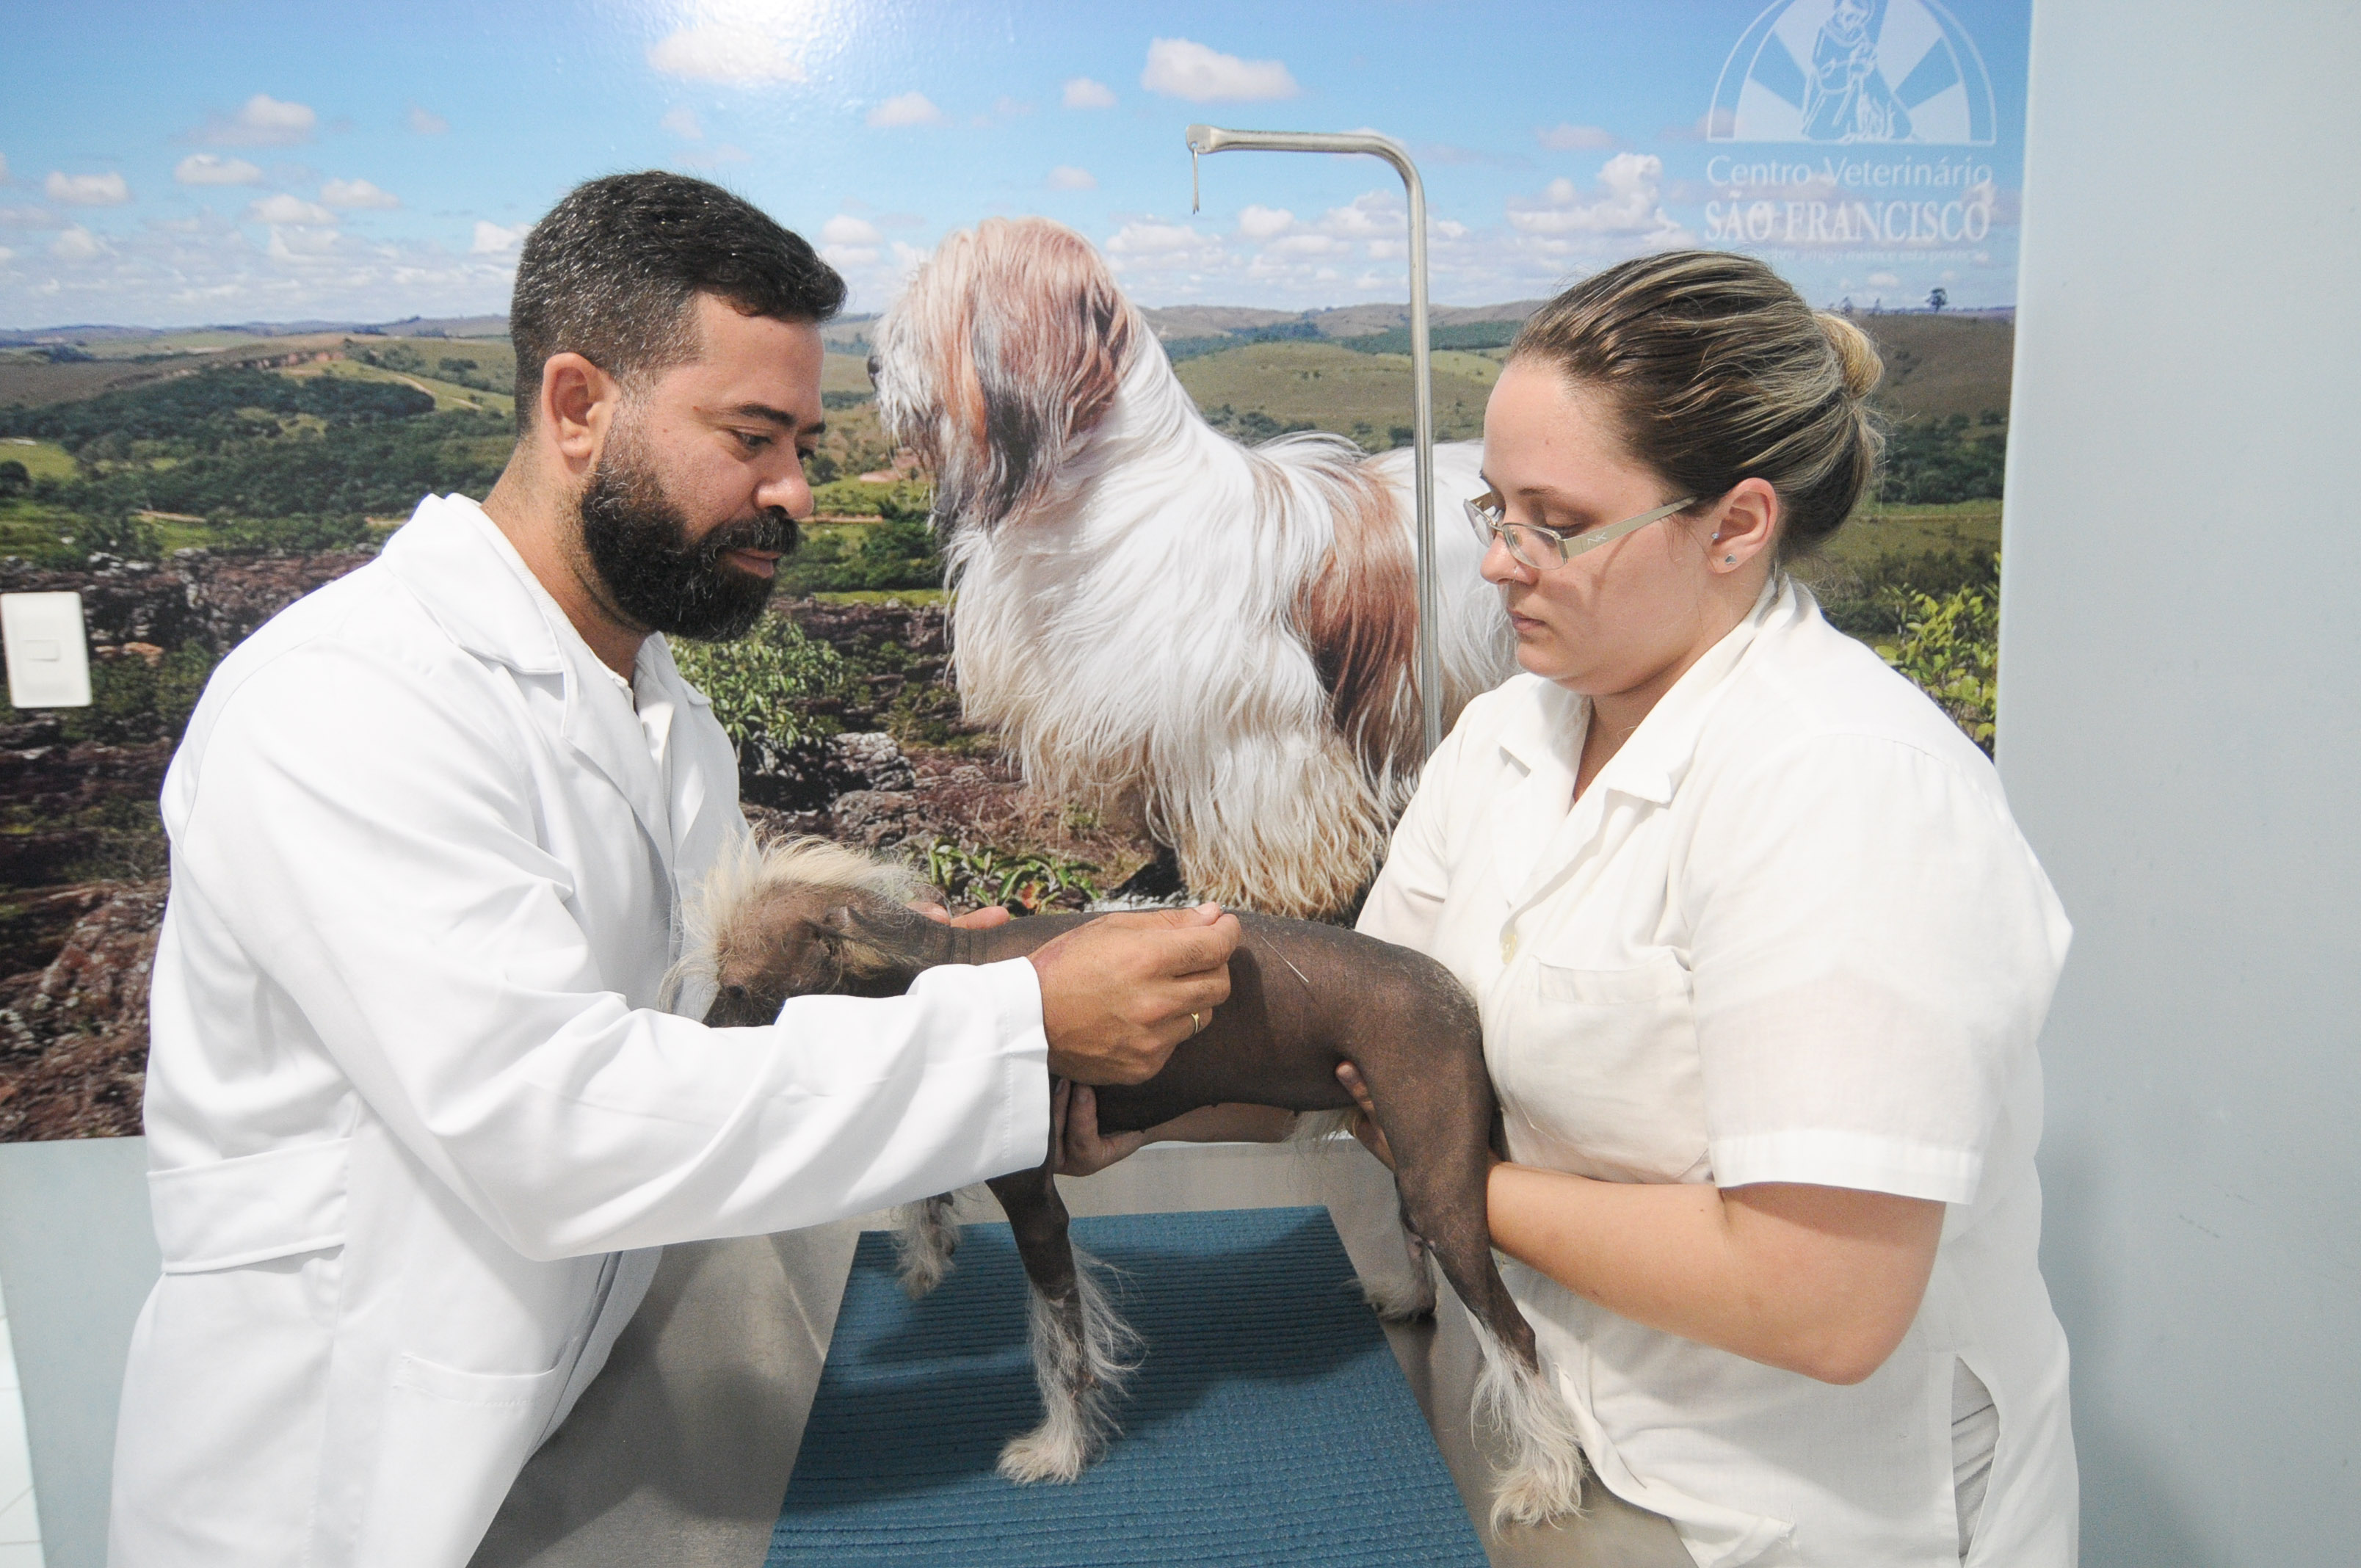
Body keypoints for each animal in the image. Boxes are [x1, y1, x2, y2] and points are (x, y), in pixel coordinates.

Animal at [675, 841, 1577, 1520]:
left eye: (742, 990)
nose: (691, 1047)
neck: (941, 969)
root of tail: (1455, 995)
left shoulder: (1037, 1208)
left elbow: (1063, 1340)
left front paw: (1061, 1449)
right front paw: (927, 1256)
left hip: (1438, 1170)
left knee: (1516, 1334)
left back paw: (1544, 1476)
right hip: (1403, 1145)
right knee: (1420, 1237)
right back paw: (1414, 1301)